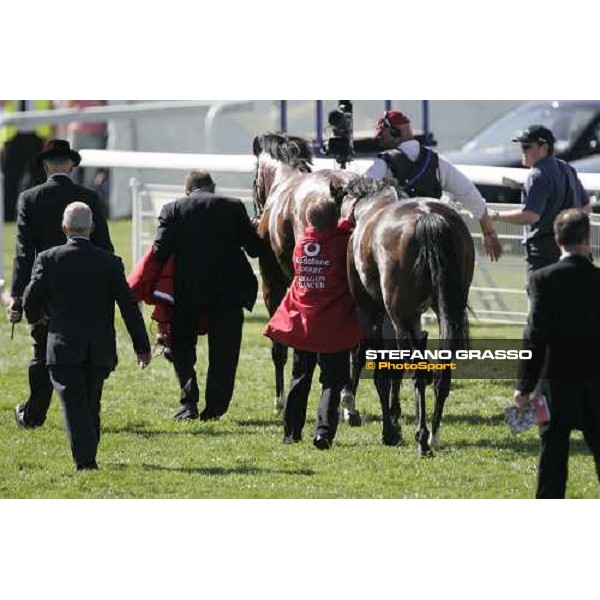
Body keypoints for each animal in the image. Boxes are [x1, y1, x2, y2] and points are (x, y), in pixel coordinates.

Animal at [338, 177, 474, 454]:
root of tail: (428, 218)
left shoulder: (370, 311)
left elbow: (373, 364)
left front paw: (386, 428)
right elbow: (395, 366)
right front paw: (393, 417)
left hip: (398, 315)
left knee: (417, 370)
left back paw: (422, 437)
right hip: (446, 311)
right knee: (441, 371)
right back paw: (433, 434)